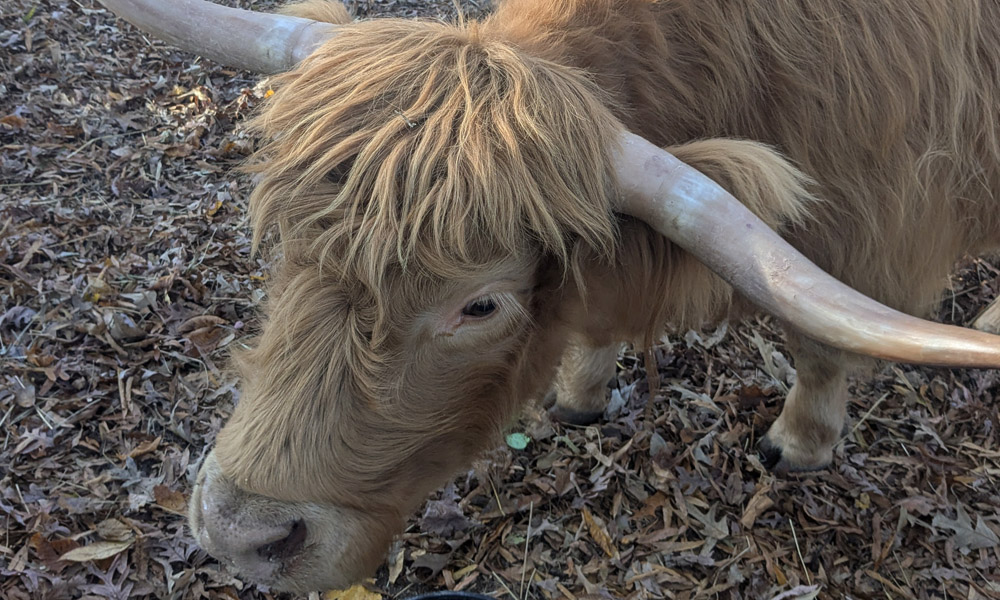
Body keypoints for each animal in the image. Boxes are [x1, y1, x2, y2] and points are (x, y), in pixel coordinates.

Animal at [99, 0, 1000, 592]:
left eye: (480, 305)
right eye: (286, 240)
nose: (239, 534)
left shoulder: (872, 232)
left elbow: (819, 345)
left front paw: (801, 442)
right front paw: (580, 392)